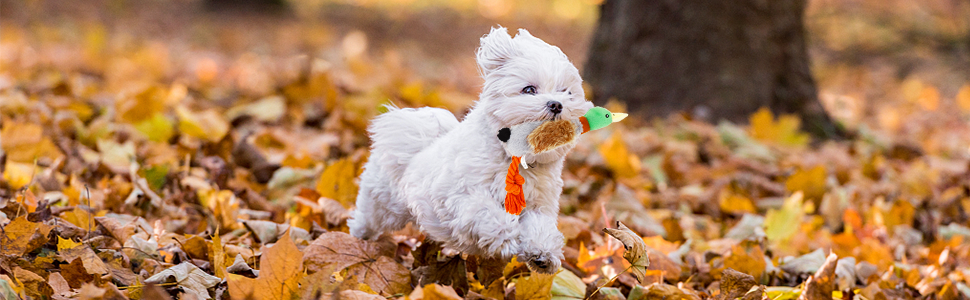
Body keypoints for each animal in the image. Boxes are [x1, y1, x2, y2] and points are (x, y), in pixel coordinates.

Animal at [348, 26, 588, 274]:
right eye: (529, 89)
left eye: (567, 92)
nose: (556, 104)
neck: (514, 157)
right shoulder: (457, 195)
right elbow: (484, 212)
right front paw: (508, 237)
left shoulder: (538, 205)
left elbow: (540, 227)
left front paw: (541, 253)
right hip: (383, 203)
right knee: (366, 218)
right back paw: (357, 238)